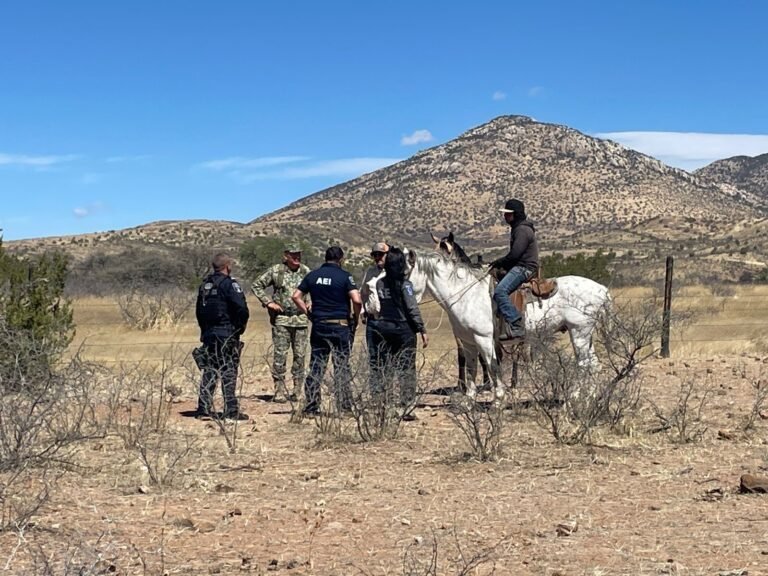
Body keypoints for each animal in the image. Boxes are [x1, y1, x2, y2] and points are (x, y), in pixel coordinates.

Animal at [404, 248, 612, 400]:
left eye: (405, 273)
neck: (466, 295)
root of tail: (601, 289)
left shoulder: (484, 339)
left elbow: (492, 366)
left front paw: (498, 399)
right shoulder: (469, 342)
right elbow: (472, 369)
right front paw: (469, 401)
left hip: (579, 333)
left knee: (584, 364)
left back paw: (574, 397)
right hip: (585, 335)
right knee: (593, 364)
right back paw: (591, 397)